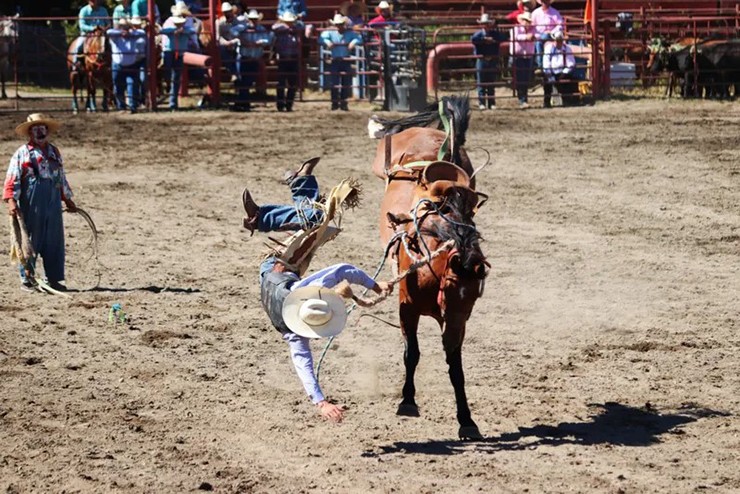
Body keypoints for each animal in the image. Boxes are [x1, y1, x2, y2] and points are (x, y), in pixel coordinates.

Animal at [372, 96, 488, 440]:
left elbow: (456, 367)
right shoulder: (407, 307)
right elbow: (412, 353)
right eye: (451, 286)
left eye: (472, 298)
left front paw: (467, 419)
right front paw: (407, 402)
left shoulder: (457, 321)